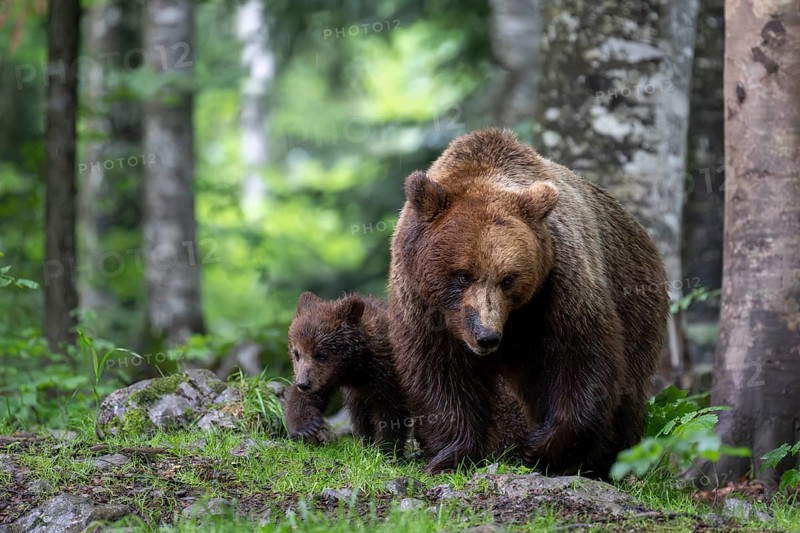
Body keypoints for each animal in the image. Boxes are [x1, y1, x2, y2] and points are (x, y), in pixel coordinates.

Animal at [283, 292, 411, 455]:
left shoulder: (388, 377)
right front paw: (306, 426)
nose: (303, 384)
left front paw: (385, 449)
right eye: (296, 353)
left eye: (320, 354)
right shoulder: (333, 380)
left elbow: (391, 413)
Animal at [388, 128, 669, 476]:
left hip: (636, 299)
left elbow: (581, 360)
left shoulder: (560, 286)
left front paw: (541, 449)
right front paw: (450, 455)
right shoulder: (422, 303)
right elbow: (438, 372)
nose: (486, 336)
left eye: (508, 278)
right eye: (463, 275)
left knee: (628, 386)